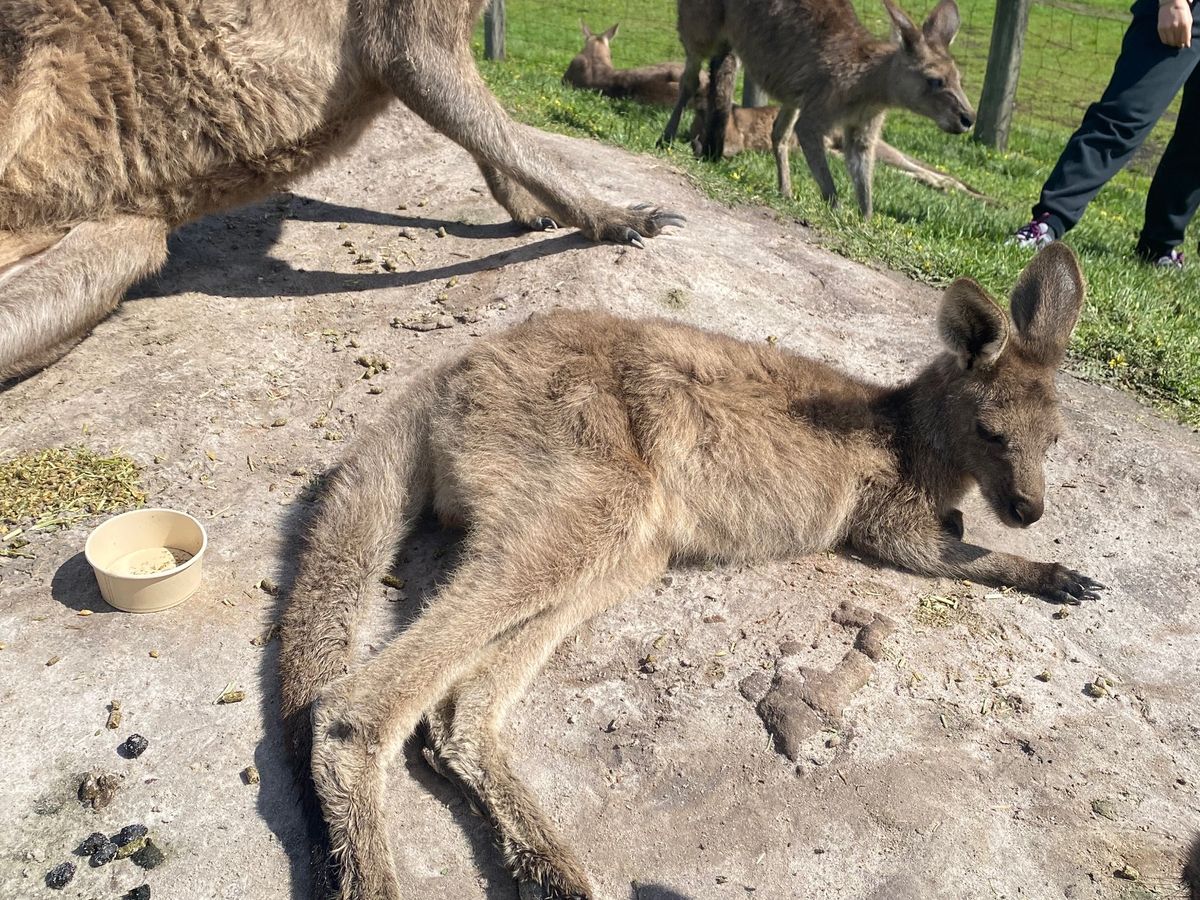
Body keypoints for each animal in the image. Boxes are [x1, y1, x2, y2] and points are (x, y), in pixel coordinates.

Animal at [0, 0, 684, 384]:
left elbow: (487, 132)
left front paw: (530, 212)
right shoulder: (408, 38)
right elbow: (496, 124)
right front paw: (616, 215)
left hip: (122, 236)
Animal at [279, 243, 1106, 900]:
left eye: (1055, 441)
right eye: (993, 433)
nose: (1028, 510)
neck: (910, 431)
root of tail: (452, 374)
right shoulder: (888, 520)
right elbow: (946, 554)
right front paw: (1052, 570)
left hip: (623, 542)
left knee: (457, 715)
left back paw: (553, 871)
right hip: (592, 489)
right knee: (354, 709)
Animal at [659, 0, 976, 217]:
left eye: (958, 79)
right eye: (935, 80)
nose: (968, 118)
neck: (870, 83)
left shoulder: (864, 125)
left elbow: (862, 167)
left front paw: (865, 218)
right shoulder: (822, 107)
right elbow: (813, 142)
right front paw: (837, 209)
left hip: (791, 91)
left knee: (778, 133)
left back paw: (785, 191)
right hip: (702, 23)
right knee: (690, 77)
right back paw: (666, 139)